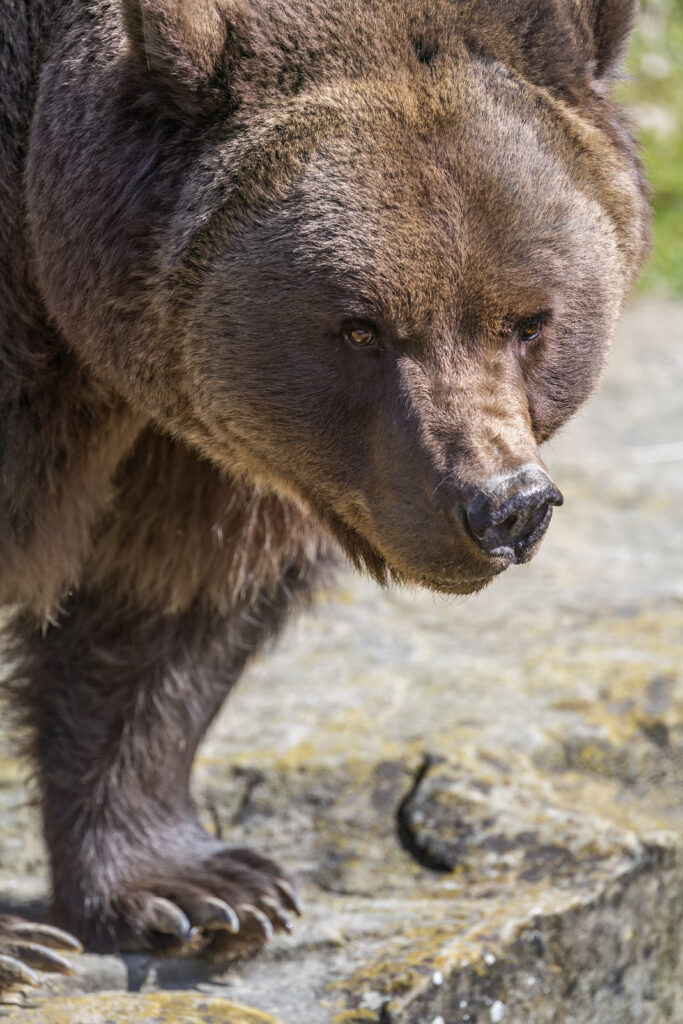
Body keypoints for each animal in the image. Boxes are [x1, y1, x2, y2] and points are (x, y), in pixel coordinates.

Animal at [0, 0, 649, 988]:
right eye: (360, 327)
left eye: (529, 319)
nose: (502, 506)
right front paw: (25, 943)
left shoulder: (209, 450)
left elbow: (160, 609)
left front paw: (201, 891)